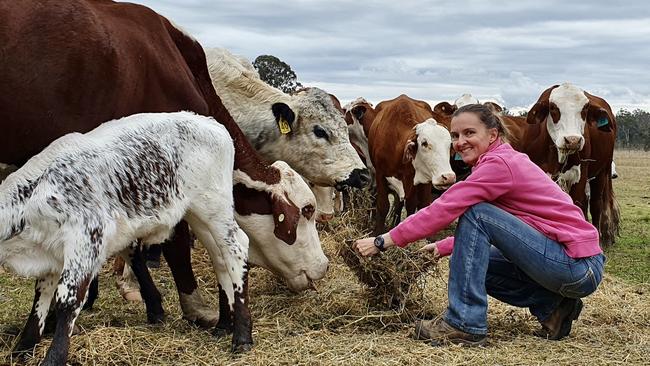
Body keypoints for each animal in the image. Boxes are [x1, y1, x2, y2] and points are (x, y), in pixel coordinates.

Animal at [368, 94, 454, 234]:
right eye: (424, 143)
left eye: (450, 145)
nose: (448, 177)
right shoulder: (380, 174)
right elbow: (383, 206)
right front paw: (378, 232)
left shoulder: (419, 180)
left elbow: (417, 206)